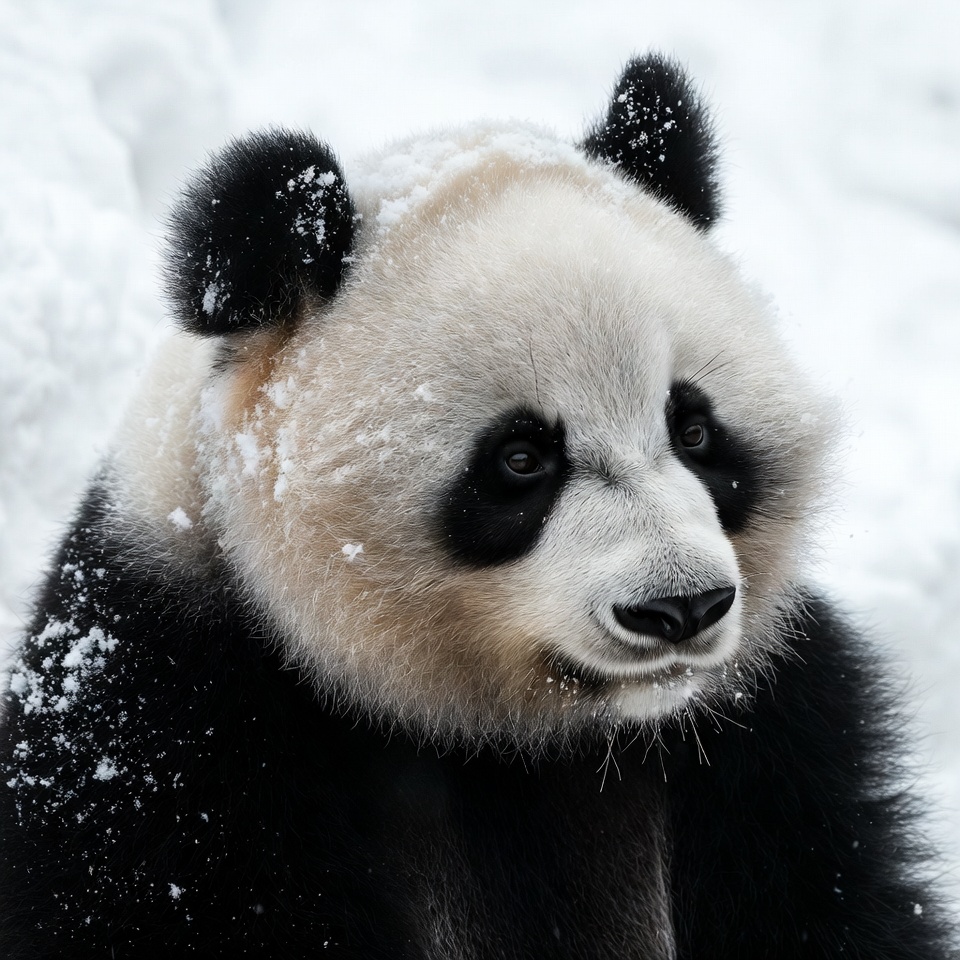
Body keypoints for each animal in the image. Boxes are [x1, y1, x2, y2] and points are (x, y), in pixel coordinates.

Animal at [0, 53, 954, 959]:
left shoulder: (774, 740)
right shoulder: (167, 722)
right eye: (520, 460)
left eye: (694, 429)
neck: (513, 740)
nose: (681, 607)